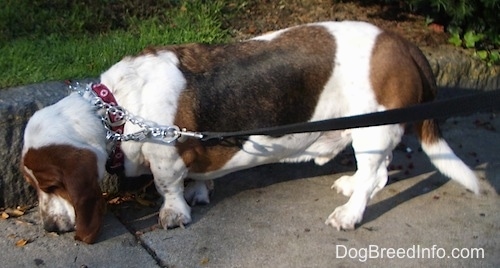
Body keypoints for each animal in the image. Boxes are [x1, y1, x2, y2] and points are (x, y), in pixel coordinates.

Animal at [21, 21, 478, 243]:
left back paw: (349, 214)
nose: (49, 229)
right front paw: (199, 191)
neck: (114, 108)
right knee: (377, 173)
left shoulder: (165, 158)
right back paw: (350, 186)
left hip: (374, 128)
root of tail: (404, 44)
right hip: (369, 132)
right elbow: (196, 177)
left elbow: (168, 186)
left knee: (372, 177)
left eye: (51, 184)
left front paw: (175, 213)